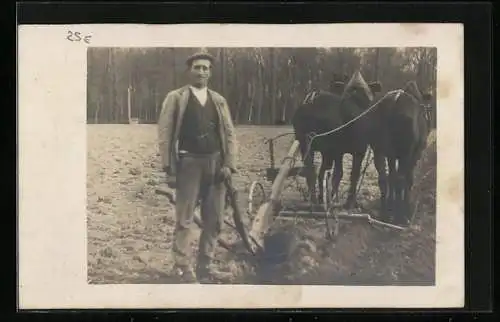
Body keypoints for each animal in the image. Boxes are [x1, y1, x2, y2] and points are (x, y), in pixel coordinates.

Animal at [292, 70, 380, 209]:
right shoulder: (351, 150)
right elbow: (346, 174)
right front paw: (346, 201)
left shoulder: (339, 152)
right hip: (324, 147)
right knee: (328, 172)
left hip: (306, 144)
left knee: (311, 171)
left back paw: (315, 200)